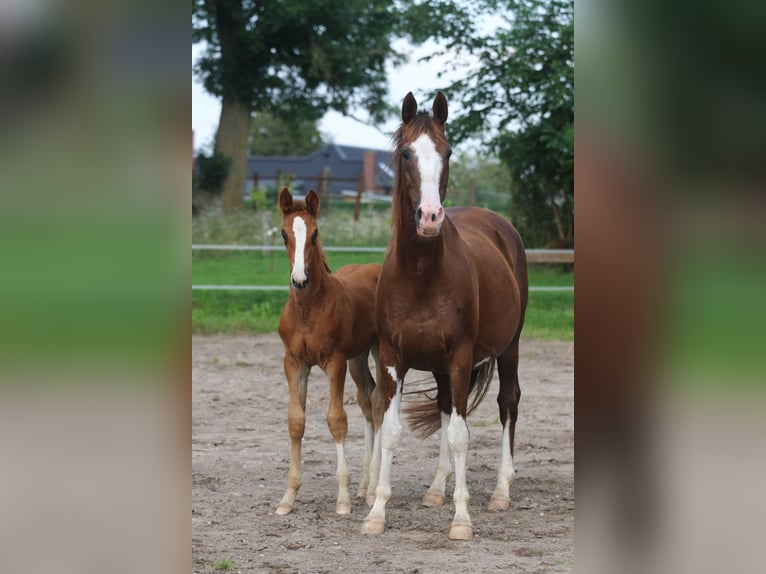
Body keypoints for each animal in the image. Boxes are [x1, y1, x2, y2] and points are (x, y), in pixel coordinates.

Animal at [278, 189, 382, 516]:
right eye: (284, 234)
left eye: (315, 234)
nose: (299, 280)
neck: (308, 310)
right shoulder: (294, 363)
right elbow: (295, 421)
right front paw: (288, 497)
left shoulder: (335, 363)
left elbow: (337, 420)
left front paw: (343, 499)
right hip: (358, 357)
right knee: (368, 399)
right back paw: (365, 487)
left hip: (379, 351)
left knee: (379, 404)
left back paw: (371, 491)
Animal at [364, 92, 532, 544]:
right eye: (406, 153)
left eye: (448, 152)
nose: (430, 217)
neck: (421, 274)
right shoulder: (393, 357)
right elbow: (393, 430)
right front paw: (376, 512)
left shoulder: (460, 355)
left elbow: (460, 435)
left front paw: (462, 519)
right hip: (440, 367)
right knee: (443, 406)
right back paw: (437, 490)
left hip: (509, 348)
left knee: (507, 403)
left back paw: (501, 491)